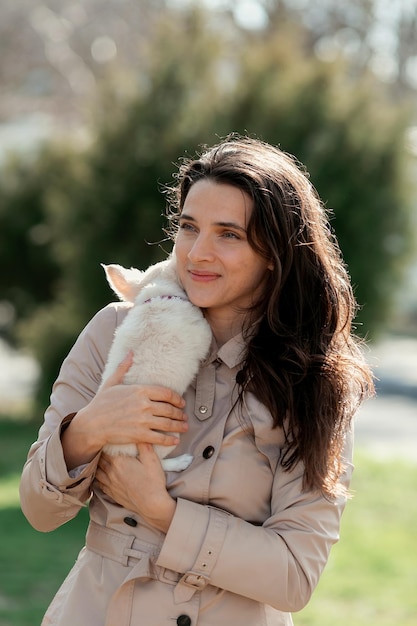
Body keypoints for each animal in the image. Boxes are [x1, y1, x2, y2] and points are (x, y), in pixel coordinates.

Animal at [98, 254, 211, 468]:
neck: (158, 294)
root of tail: (115, 450)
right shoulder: (203, 334)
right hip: (168, 434)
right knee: (157, 462)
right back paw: (181, 462)